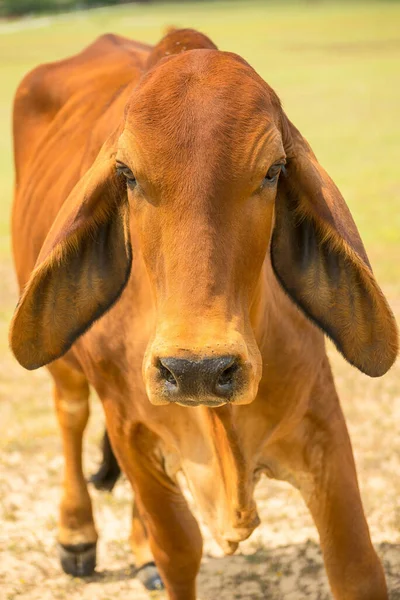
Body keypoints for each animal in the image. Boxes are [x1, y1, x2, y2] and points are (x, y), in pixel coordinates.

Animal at [8, 28, 396, 600]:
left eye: (274, 170)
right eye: (126, 174)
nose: (197, 370)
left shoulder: (322, 423)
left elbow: (356, 564)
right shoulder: (128, 426)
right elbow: (179, 549)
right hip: (69, 371)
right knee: (71, 414)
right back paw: (76, 535)